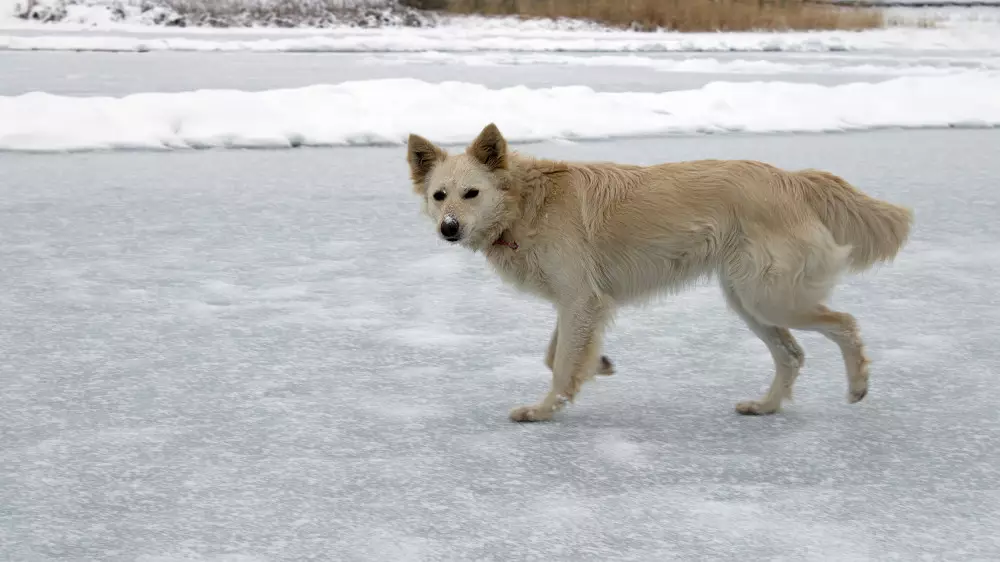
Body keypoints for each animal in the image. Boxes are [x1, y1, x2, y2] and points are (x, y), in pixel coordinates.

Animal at [406, 122, 916, 420]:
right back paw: (766, 406)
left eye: (471, 193)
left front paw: (545, 409)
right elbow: (558, 354)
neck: (527, 204)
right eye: (439, 195)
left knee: (844, 324)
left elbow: (562, 361)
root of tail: (792, 179)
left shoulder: (580, 297)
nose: (449, 228)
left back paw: (858, 385)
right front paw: (598, 365)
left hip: (770, 297)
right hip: (748, 300)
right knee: (791, 354)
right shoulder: (580, 301)